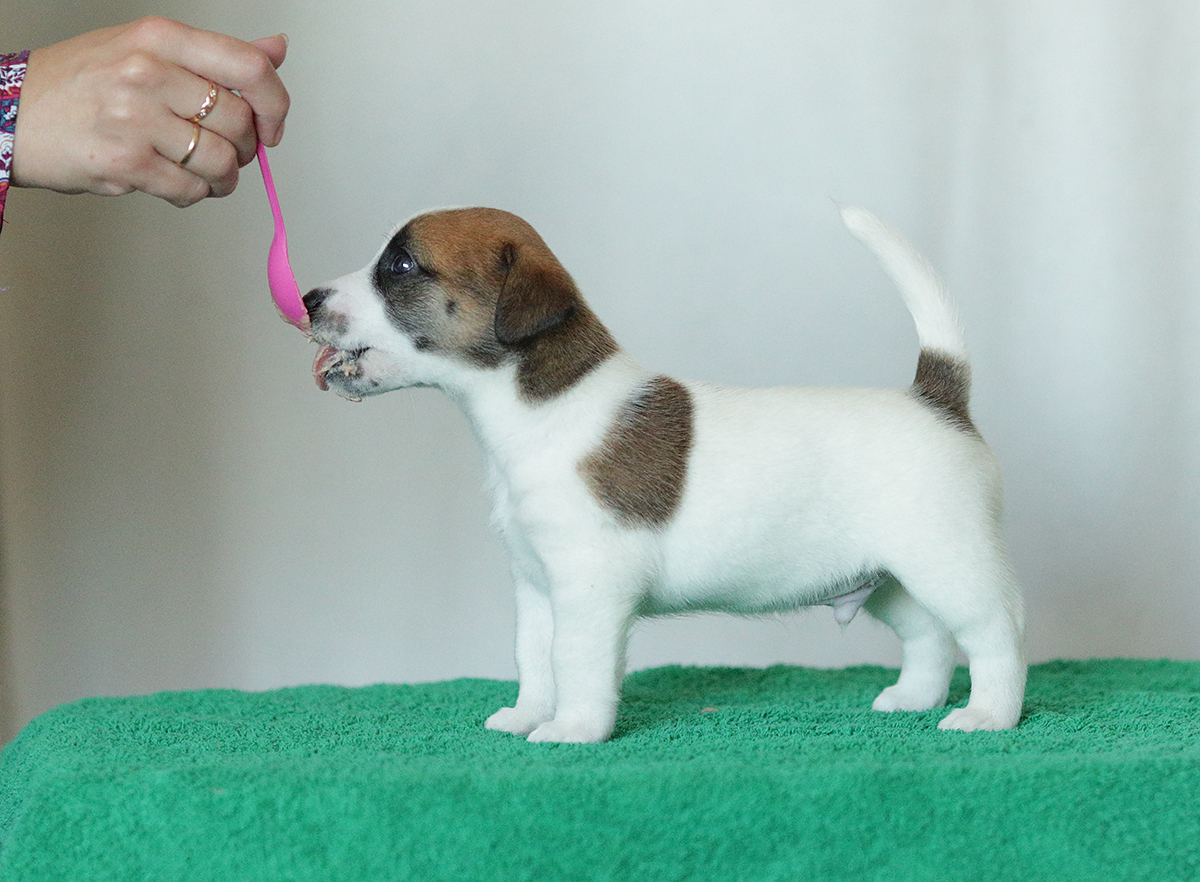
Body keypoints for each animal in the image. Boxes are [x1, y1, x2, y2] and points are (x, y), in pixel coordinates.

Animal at [303, 205, 1026, 743]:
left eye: (400, 265)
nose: (308, 298)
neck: (545, 407)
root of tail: (936, 398)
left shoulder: (588, 587)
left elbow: (573, 659)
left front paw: (572, 729)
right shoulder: (536, 585)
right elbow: (534, 658)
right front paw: (528, 715)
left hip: (947, 561)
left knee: (996, 635)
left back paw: (990, 714)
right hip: (891, 578)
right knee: (931, 635)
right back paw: (915, 698)